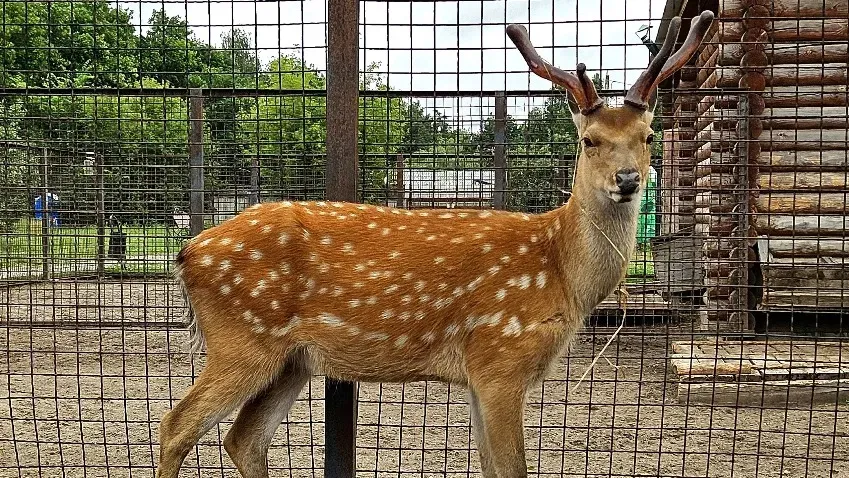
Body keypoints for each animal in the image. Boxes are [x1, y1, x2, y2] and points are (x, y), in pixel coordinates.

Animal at [156, 11, 712, 478]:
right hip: (242, 339)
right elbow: (512, 469)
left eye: (649, 135)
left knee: (243, 438)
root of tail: (187, 253)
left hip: (292, 360)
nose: (628, 180)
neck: (561, 275)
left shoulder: (480, 375)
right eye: (588, 139)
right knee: (176, 424)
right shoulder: (500, 357)